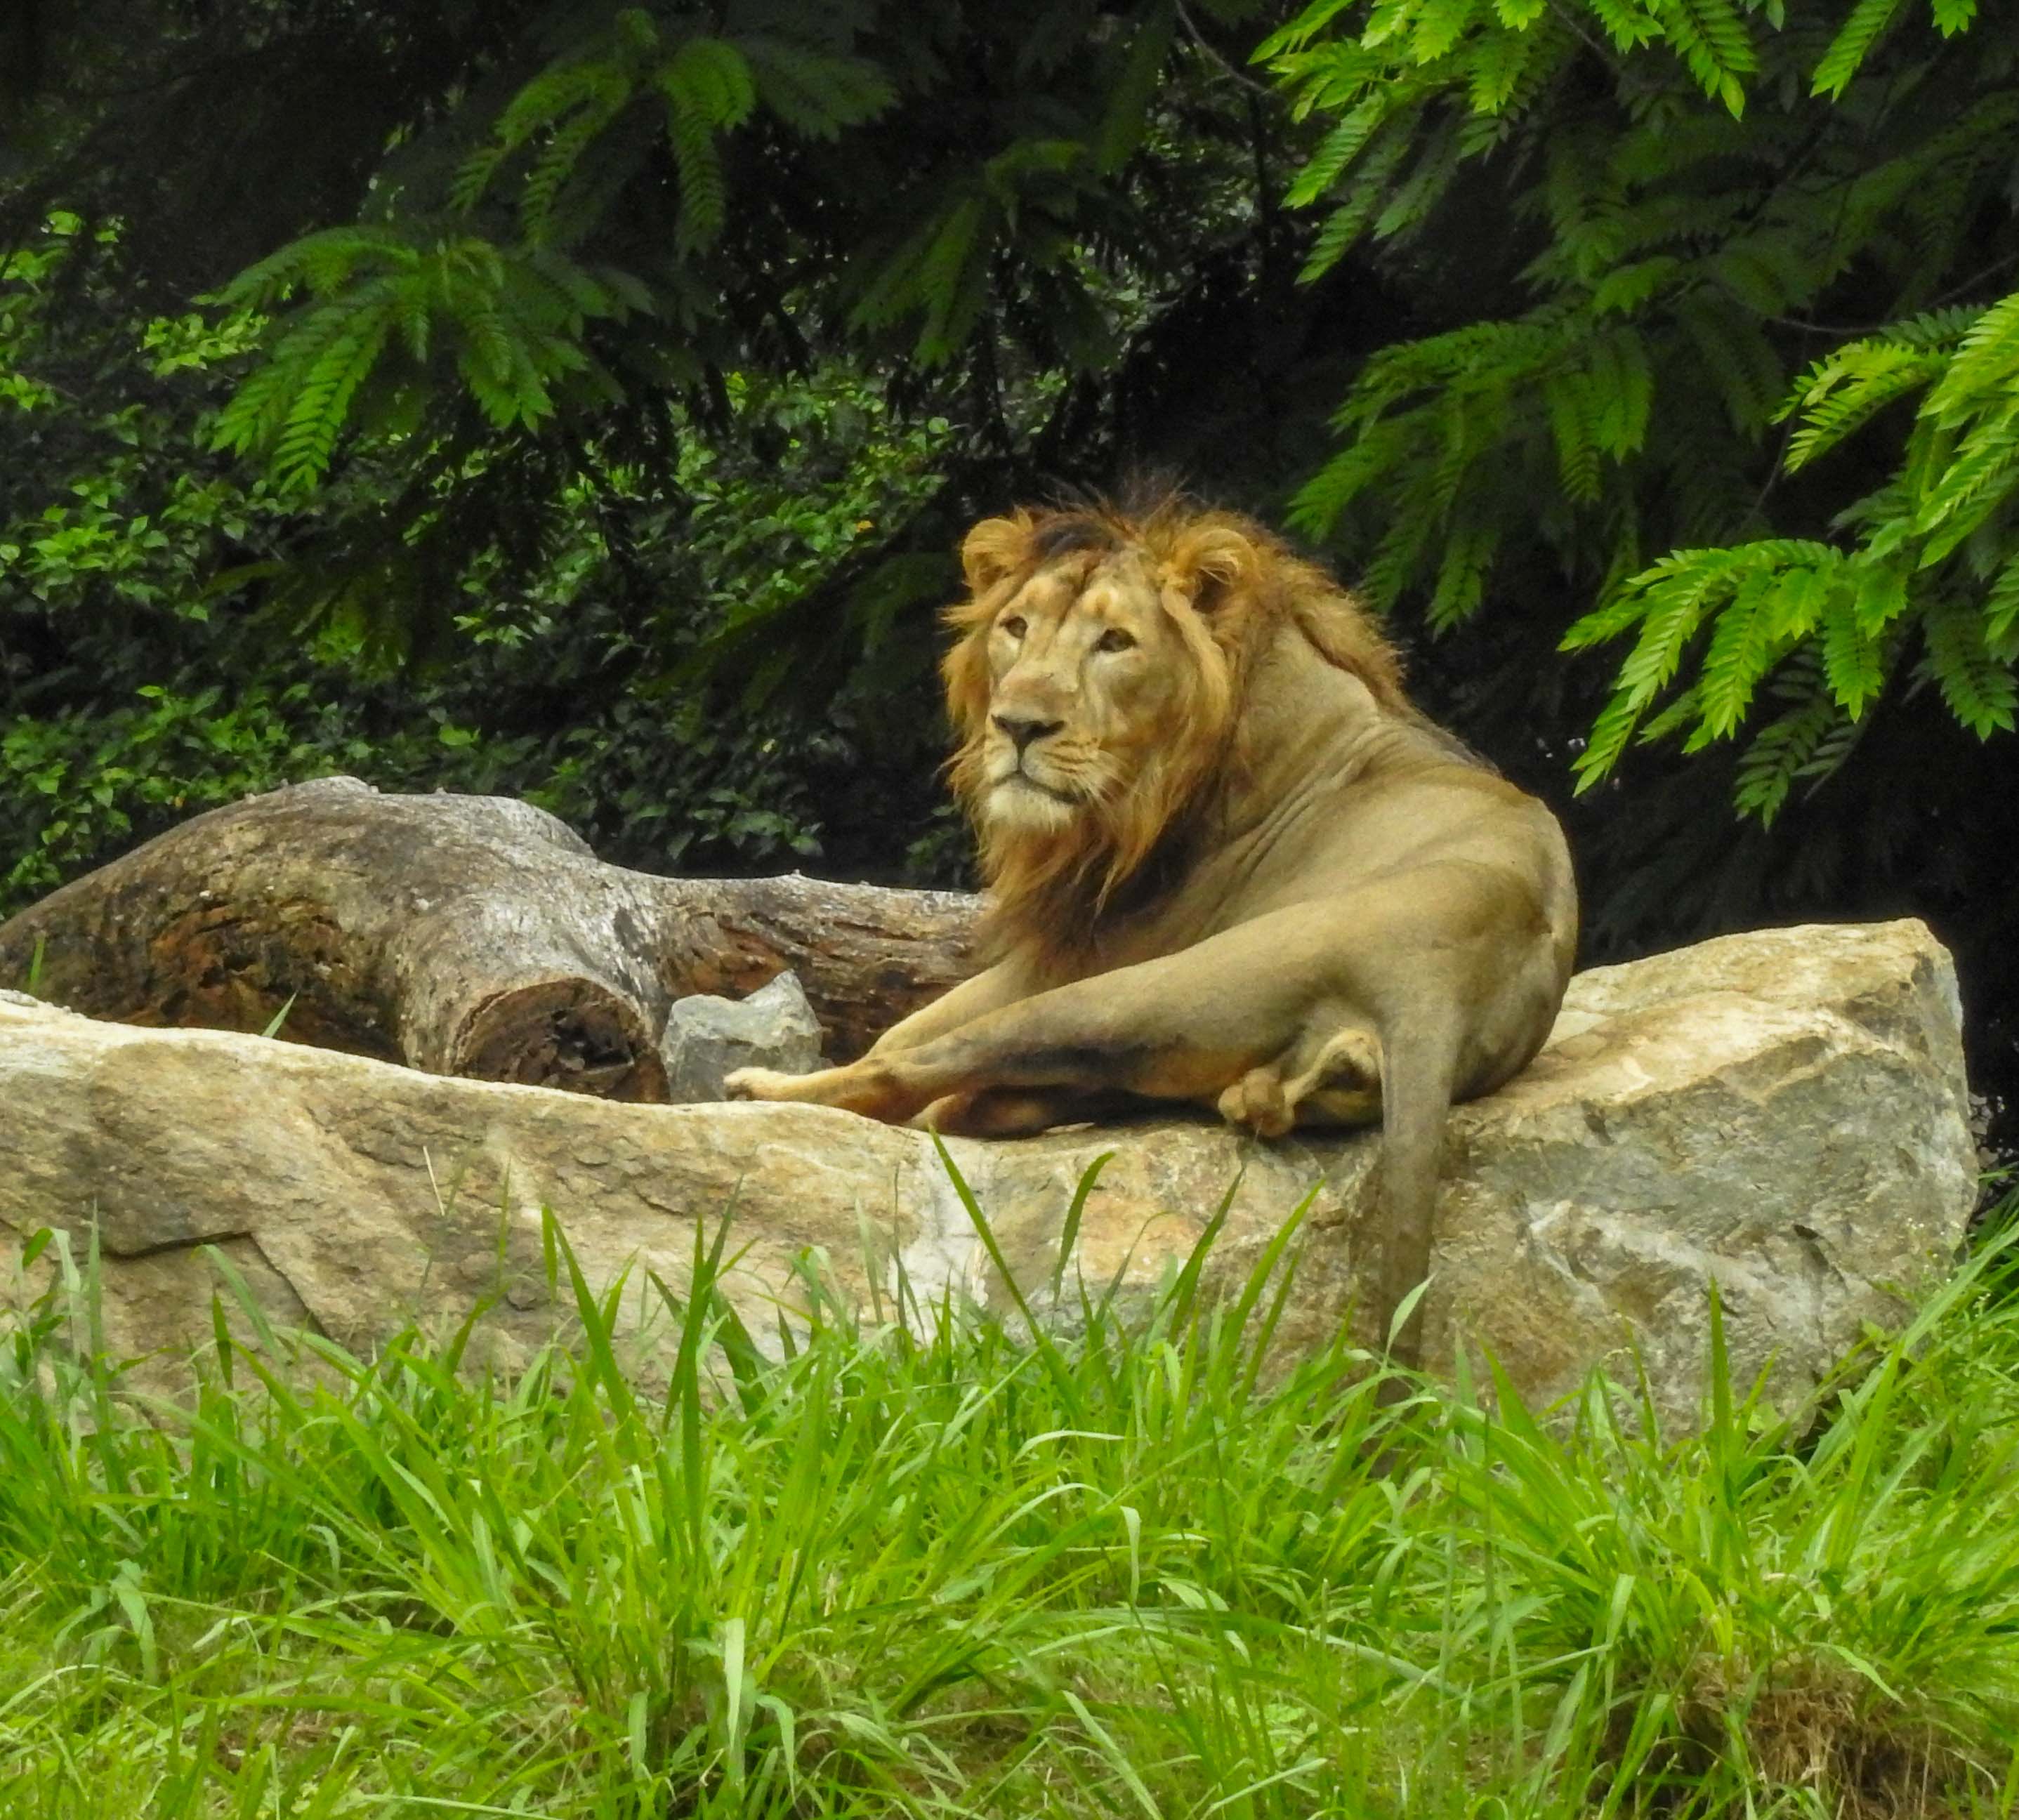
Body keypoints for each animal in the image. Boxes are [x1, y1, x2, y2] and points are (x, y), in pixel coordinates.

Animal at [735, 498, 1583, 1372]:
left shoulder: (1071, 954)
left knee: (907, 1070)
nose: (1018, 726)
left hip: (1137, 991)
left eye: (1115, 642)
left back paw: (764, 1091)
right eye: (1015, 627)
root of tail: (1440, 979)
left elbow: (904, 1032)